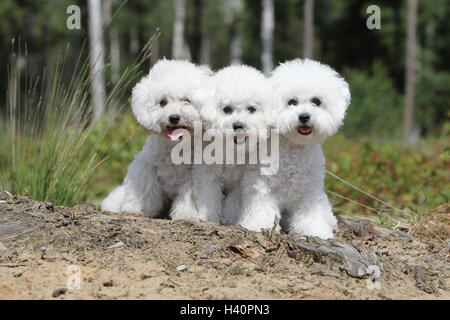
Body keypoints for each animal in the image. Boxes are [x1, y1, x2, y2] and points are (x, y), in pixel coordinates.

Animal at [101, 58, 217, 221]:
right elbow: (145, 189)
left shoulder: (192, 176)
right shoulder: (146, 166)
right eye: (163, 102)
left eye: (186, 100)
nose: (173, 117)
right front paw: (137, 209)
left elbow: (188, 197)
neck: (174, 147)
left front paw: (186, 215)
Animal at [236, 59, 352, 240]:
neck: (294, 149)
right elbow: (262, 210)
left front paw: (315, 231)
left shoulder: (309, 193)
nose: (304, 116)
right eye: (292, 102)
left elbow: (310, 214)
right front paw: (259, 226)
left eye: (316, 101)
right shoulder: (263, 187)